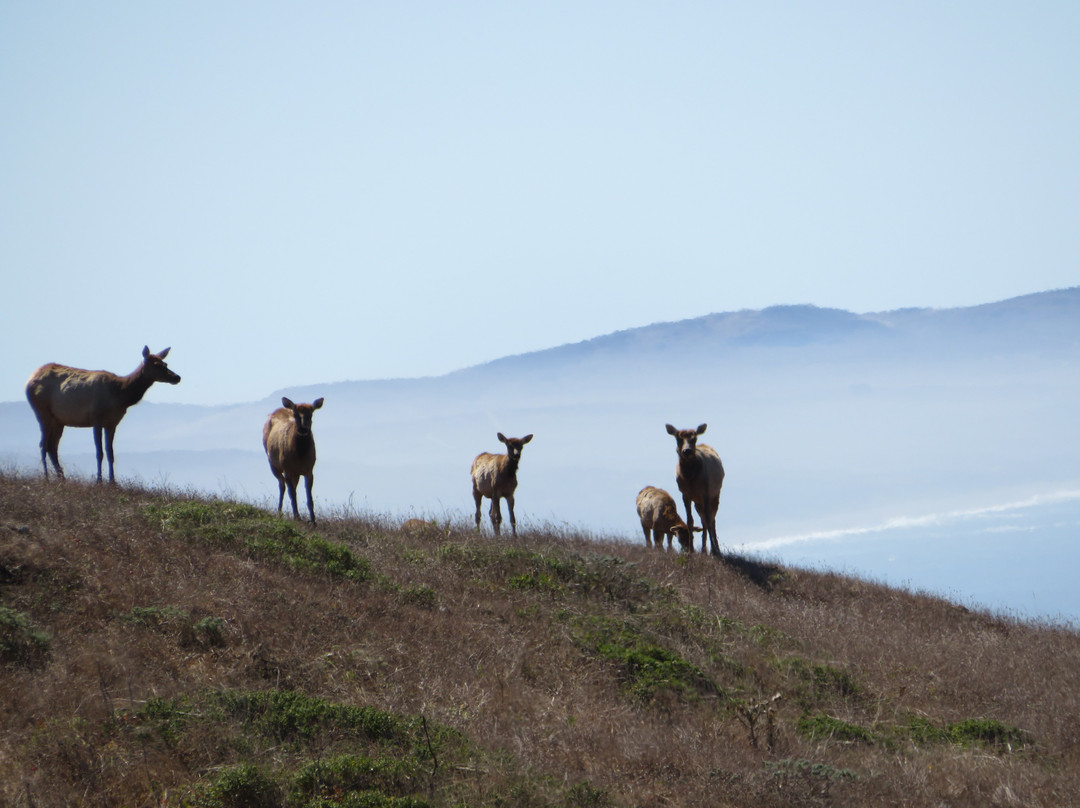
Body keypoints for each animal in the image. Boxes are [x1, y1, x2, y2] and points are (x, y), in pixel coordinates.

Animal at [25, 346, 181, 483]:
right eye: (156, 365)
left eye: (165, 363)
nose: (177, 377)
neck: (120, 395)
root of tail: (29, 380)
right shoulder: (96, 418)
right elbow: (99, 453)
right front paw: (99, 481)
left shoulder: (112, 423)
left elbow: (110, 453)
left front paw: (113, 482)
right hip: (42, 412)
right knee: (43, 444)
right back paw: (46, 478)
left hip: (59, 420)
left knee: (52, 447)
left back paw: (62, 478)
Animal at [262, 396, 324, 525]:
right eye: (295, 414)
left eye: (311, 414)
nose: (303, 429)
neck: (299, 455)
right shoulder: (287, 469)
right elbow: (292, 494)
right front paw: (297, 517)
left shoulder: (309, 470)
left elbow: (309, 498)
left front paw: (313, 520)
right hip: (273, 464)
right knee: (282, 486)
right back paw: (279, 512)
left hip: (295, 473)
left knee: (290, 486)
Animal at [665, 423, 725, 557]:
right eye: (678, 439)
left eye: (694, 439)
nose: (687, 451)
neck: (690, 477)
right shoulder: (685, 495)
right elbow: (690, 521)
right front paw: (691, 550)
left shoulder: (706, 493)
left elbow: (708, 520)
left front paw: (714, 551)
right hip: (698, 502)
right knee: (704, 520)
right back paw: (704, 550)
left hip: (715, 495)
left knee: (711, 520)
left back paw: (715, 550)